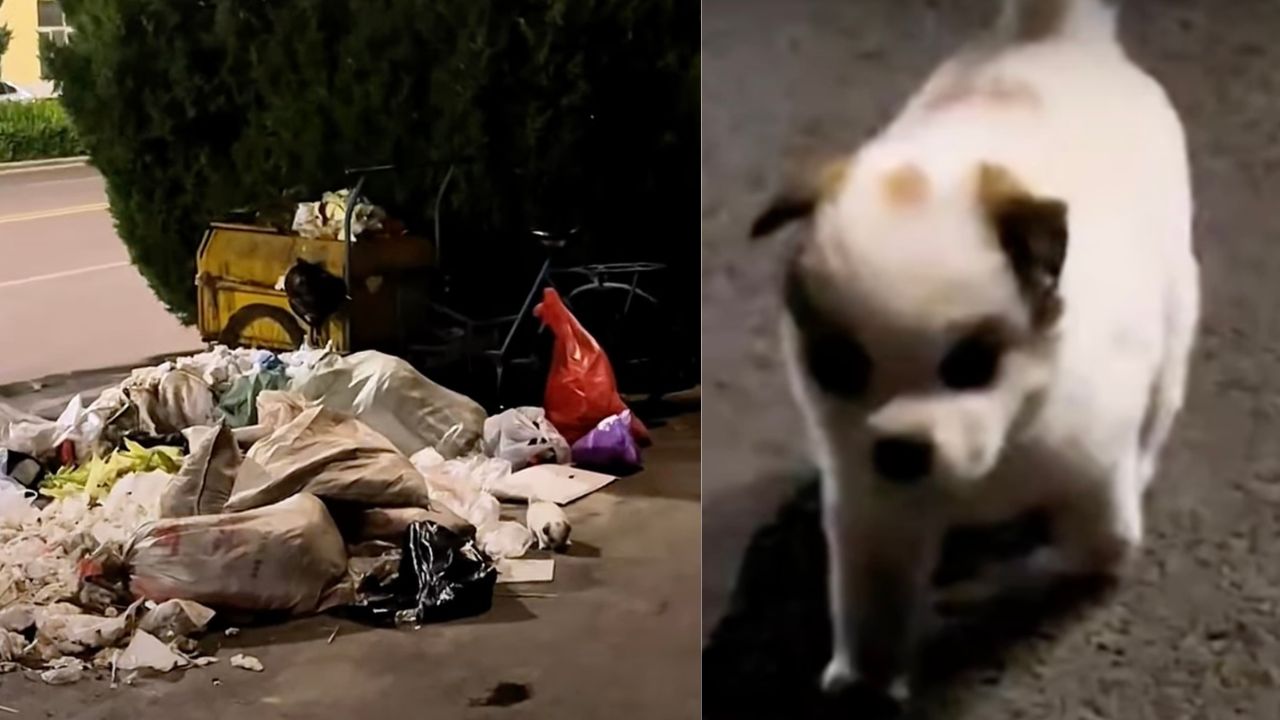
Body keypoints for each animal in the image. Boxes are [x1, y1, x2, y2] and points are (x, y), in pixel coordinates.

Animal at [747, 0, 1198, 696]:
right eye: (838, 366)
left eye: (971, 365)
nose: (901, 451)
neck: (1000, 451)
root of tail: (1055, 37)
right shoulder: (875, 516)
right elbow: (870, 604)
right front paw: (864, 679)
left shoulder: (1093, 486)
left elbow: (1086, 549)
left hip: (1176, 322)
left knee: (1157, 411)